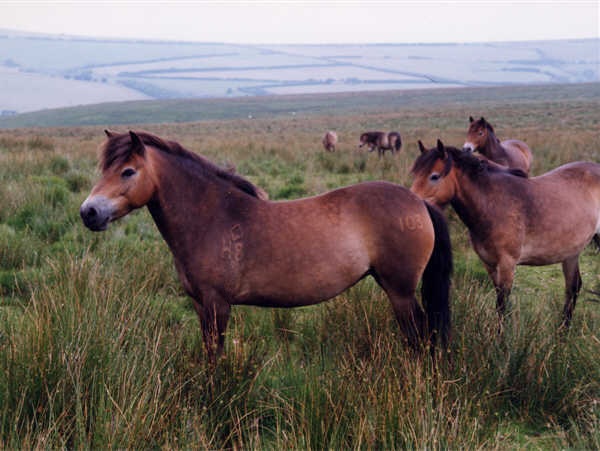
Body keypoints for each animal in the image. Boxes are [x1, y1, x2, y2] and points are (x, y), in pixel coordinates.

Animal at [82, 131, 452, 364]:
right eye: (104, 169)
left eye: (128, 171)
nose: (89, 212)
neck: (212, 216)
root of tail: (419, 201)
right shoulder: (201, 305)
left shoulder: (218, 305)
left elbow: (215, 359)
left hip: (400, 292)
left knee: (420, 338)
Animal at [410, 139, 600, 330]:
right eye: (414, 174)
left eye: (434, 176)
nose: (415, 206)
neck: (493, 204)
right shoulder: (489, 264)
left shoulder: (507, 264)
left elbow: (501, 304)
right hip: (571, 253)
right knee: (573, 287)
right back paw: (562, 331)